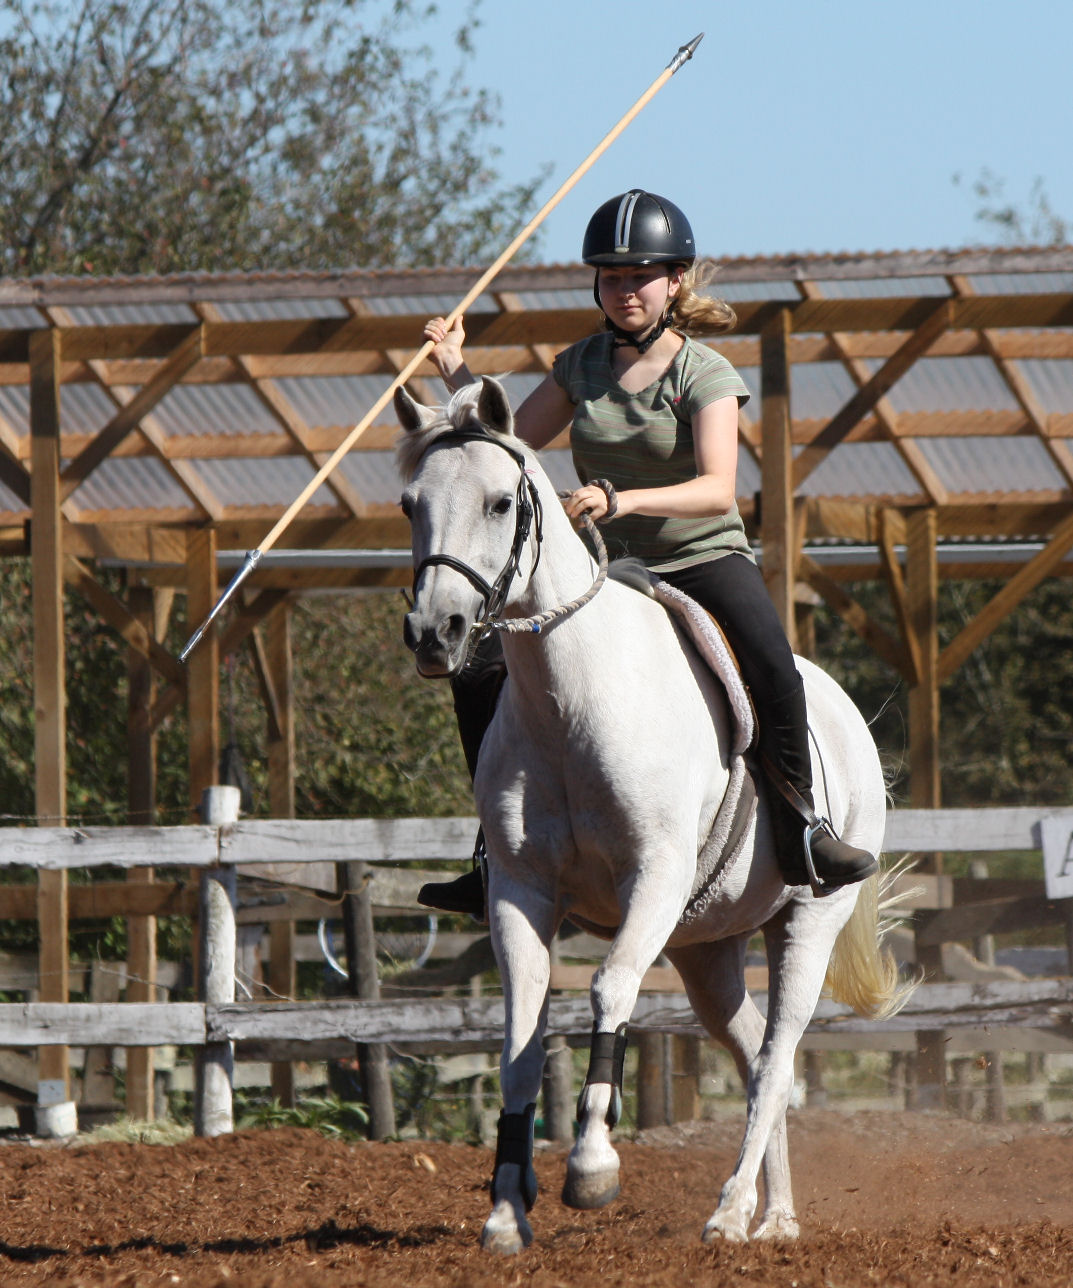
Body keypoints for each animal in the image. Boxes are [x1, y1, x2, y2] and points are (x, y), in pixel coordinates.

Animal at [394, 376, 909, 1255]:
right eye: (408, 505)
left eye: (501, 502)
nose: (437, 632)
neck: (569, 700)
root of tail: (845, 714)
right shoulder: (520, 892)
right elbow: (521, 1031)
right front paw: (505, 1209)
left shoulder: (654, 880)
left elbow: (608, 991)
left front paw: (591, 1167)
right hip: (707, 948)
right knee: (752, 1056)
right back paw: (773, 1214)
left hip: (806, 921)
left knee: (777, 1058)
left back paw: (732, 1211)